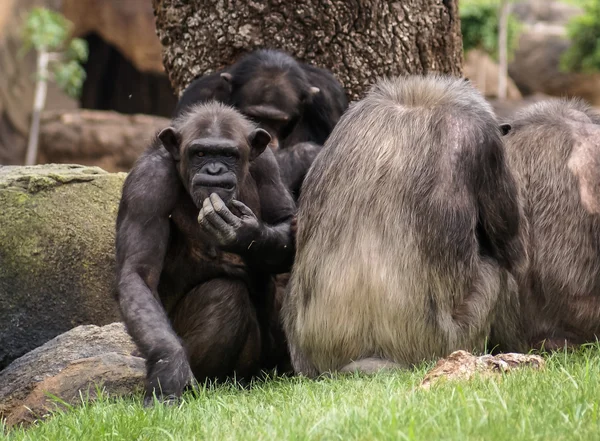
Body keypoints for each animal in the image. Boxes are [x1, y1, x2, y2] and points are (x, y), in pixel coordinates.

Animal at [115, 101, 296, 404]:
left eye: (228, 154)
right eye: (199, 153)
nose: (214, 169)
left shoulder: (268, 165)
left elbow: (287, 224)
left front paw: (245, 233)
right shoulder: (147, 184)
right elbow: (137, 272)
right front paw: (169, 370)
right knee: (224, 292)